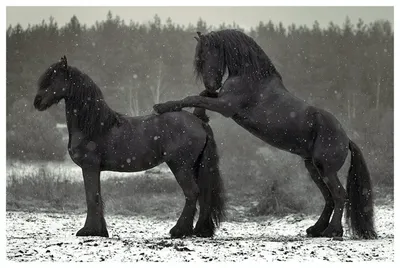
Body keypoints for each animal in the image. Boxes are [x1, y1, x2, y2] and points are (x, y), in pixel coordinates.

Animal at [32, 56, 225, 239]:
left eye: (54, 79)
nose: (37, 102)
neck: (94, 126)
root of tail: (198, 121)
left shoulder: (89, 167)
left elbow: (92, 197)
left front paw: (89, 230)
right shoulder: (95, 169)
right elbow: (97, 196)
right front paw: (100, 230)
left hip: (180, 166)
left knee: (192, 193)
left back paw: (179, 230)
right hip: (196, 166)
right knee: (204, 194)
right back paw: (200, 230)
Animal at [152, 29, 376, 239]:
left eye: (206, 55)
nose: (212, 84)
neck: (250, 77)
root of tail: (346, 139)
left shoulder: (226, 106)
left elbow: (194, 97)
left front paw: (161, 106)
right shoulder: (221, 100)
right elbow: (200, 96)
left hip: (326, 169)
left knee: (339, 195)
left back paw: (333, 231)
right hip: (313, 168)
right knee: (329, 197)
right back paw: (316, 229)